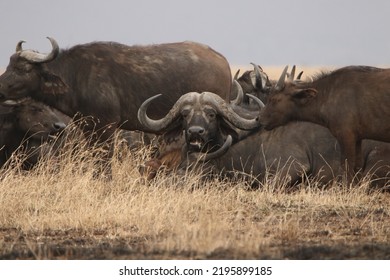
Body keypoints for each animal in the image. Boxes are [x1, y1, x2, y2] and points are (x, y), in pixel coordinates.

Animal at [0, 37, 232, 177]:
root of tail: (222, 60)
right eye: (9, 65)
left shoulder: (106, 128)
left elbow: (104, 161)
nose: (0, 87)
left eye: (23, 69)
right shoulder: (89, 128)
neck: (76, 76)